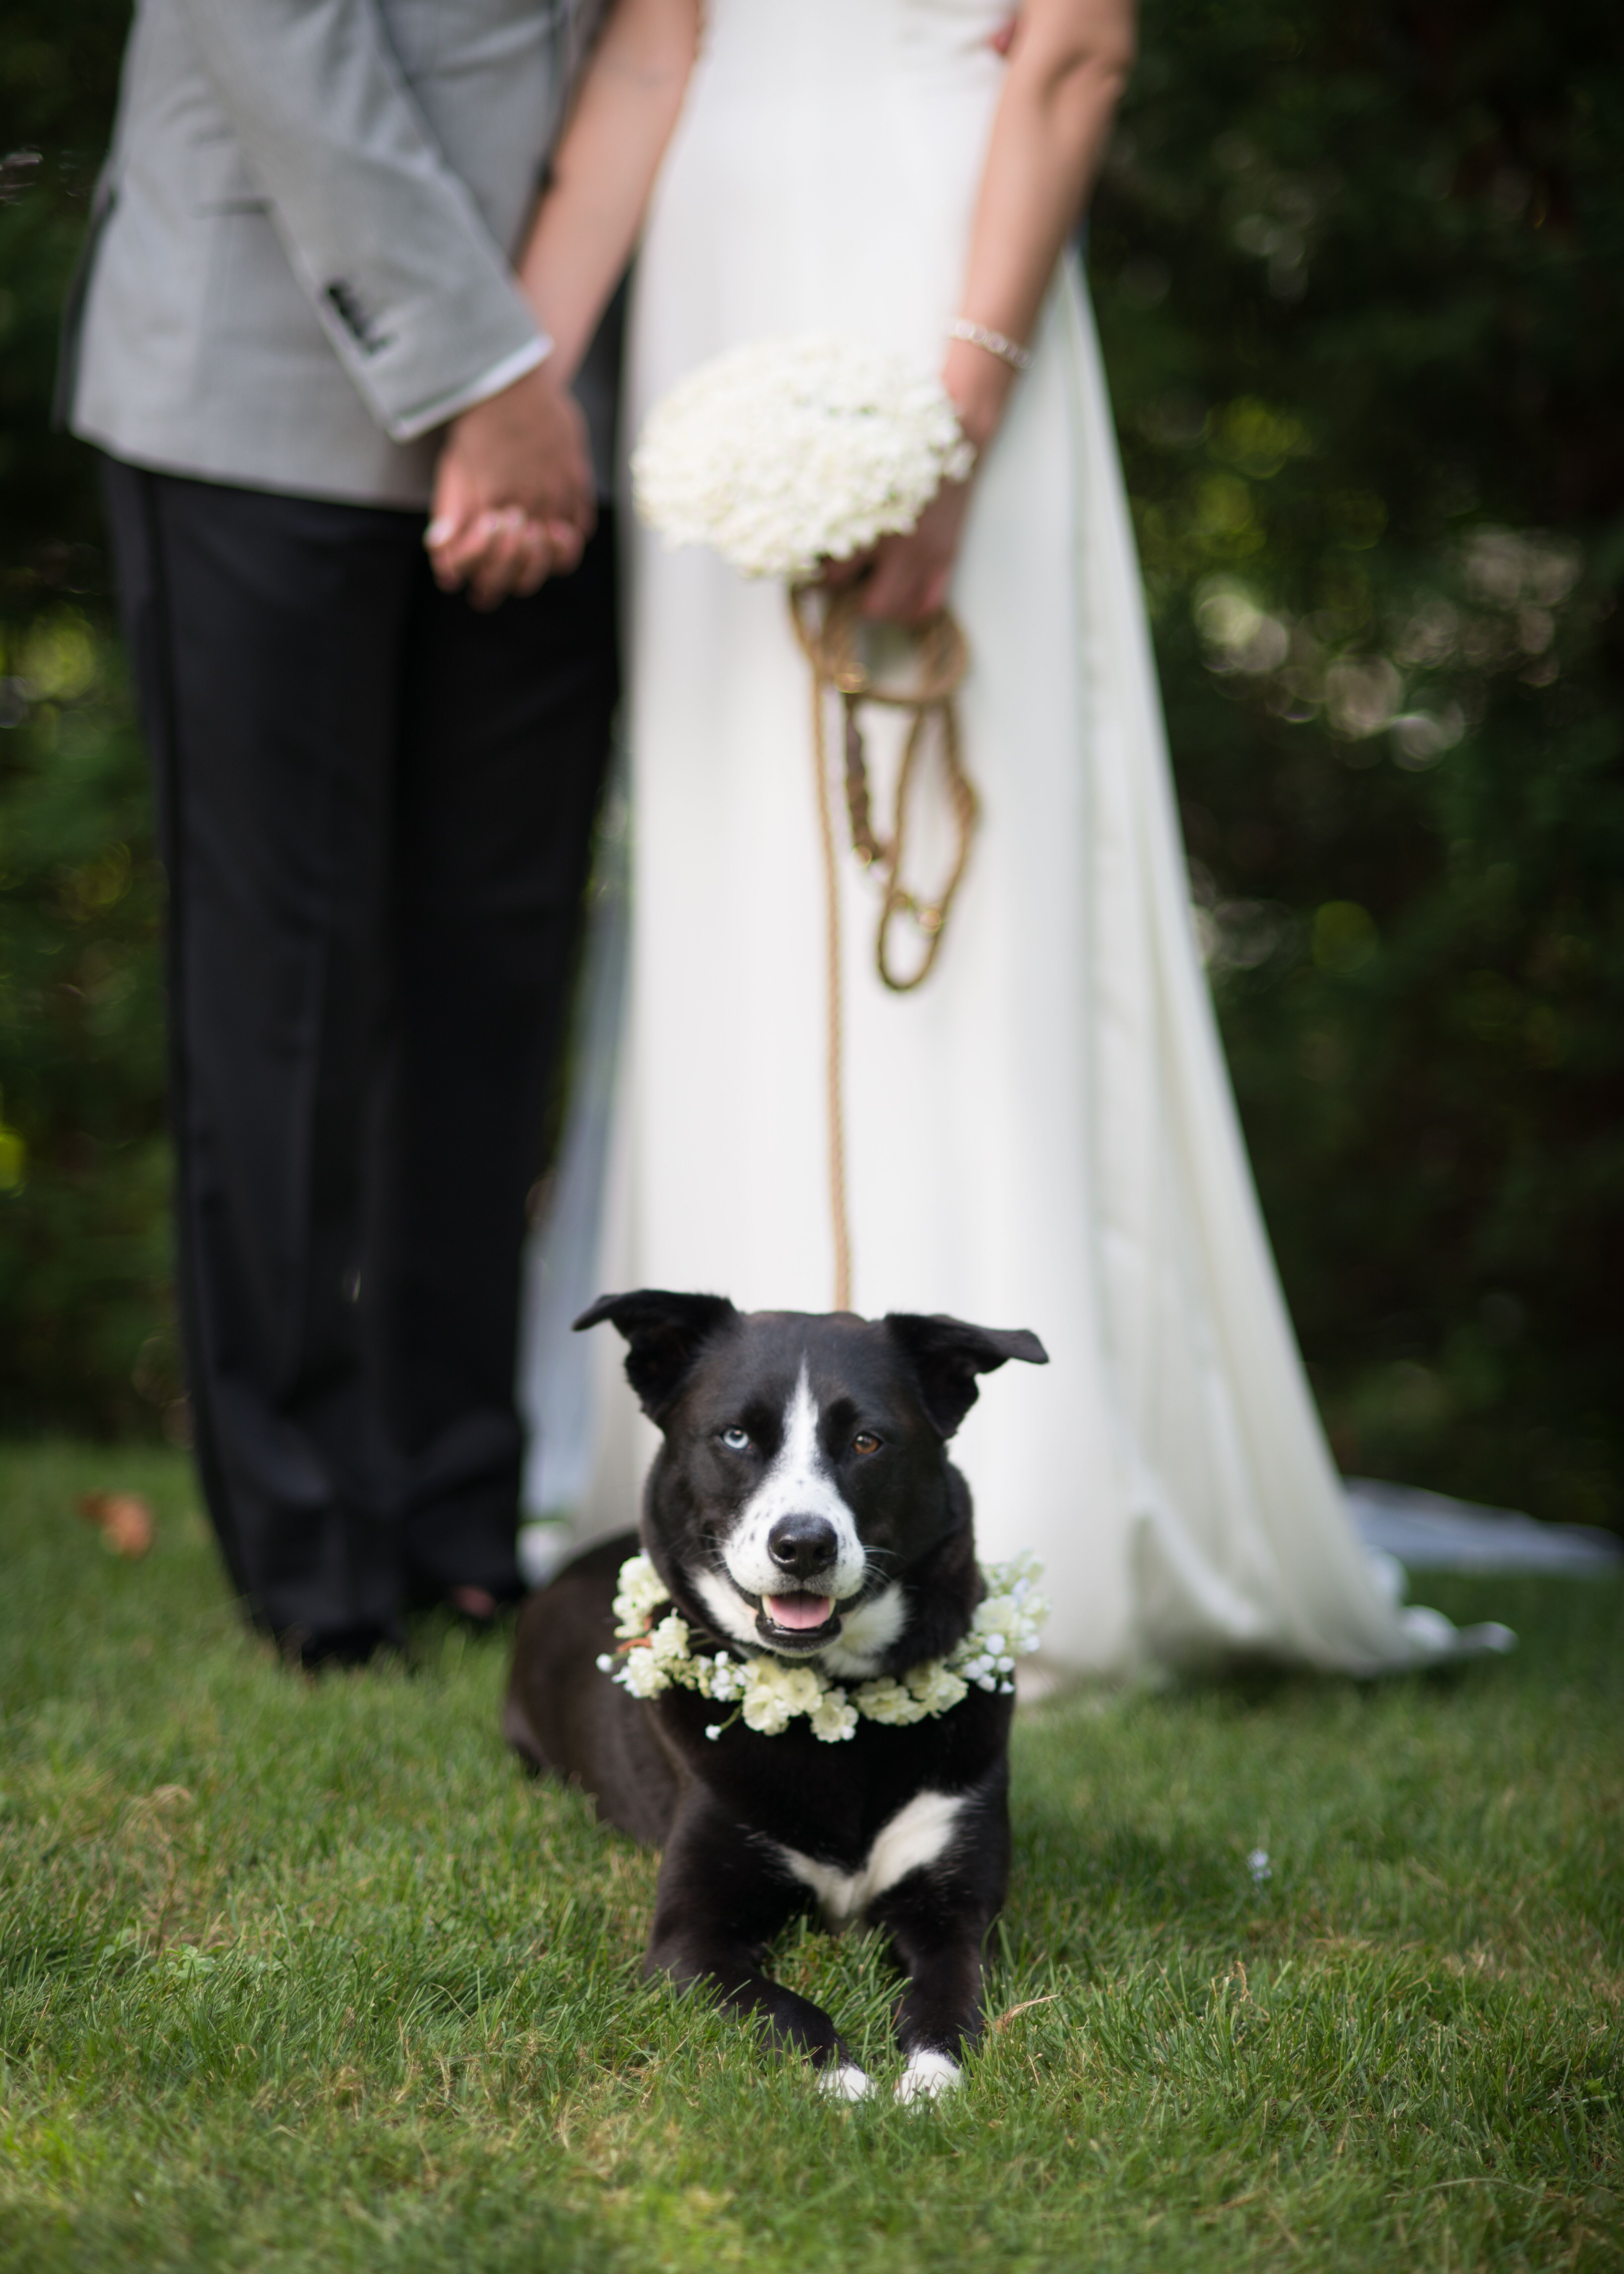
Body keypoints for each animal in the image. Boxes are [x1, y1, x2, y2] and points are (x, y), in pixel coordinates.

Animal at [500, 1291, 1042, 2101]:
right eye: (735, 1436)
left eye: (867, 1441)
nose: (804, 1545)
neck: (838, 1713)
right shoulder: (690, 1939)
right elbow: (785, 2010)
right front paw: (845, 2086)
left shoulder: (956, 1909)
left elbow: (947, 1994)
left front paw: (926, 2082)